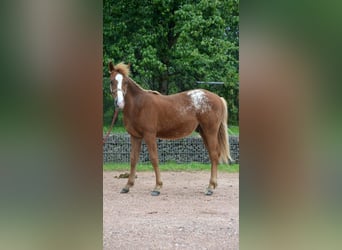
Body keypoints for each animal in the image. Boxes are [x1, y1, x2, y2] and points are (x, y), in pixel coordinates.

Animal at [109, 62, 232, 195]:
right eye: (111, 81)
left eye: (125, 82)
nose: (119, 103)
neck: (139, 105)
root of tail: (218, 98)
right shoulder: (135, 136)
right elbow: (133, 159)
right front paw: (127, 186)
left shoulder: (149, 135)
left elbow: (154, 159)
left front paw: (157, 187)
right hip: (204, 132)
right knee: (213, 155)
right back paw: (213, 185)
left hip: (210, 132)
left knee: (214, 155)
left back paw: (210, 187)